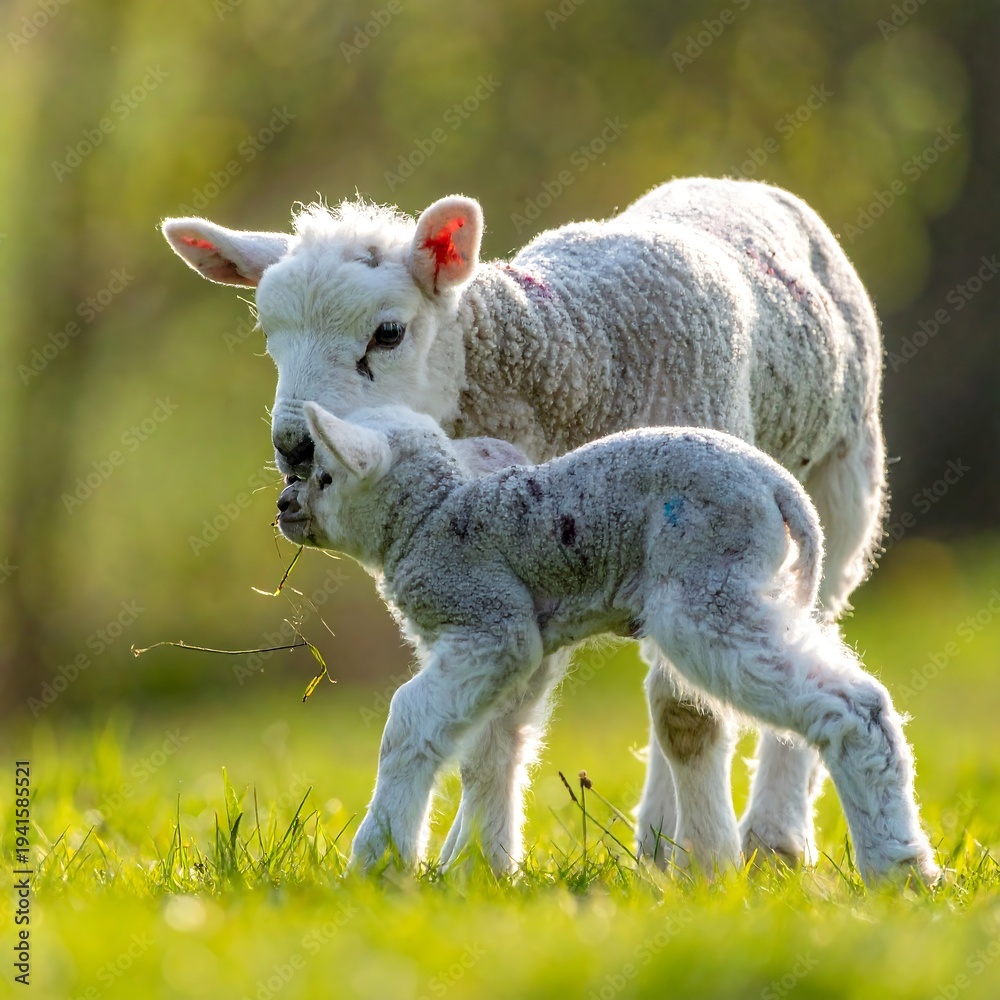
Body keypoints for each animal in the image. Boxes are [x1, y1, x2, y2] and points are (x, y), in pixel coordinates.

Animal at [162, 176, 886, 870]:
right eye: (269, 338)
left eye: (388, 333)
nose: (294, 448)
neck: (568, 344)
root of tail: (733, 179)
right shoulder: (521, 558)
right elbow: (496, 723)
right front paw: (475, 864)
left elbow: (687, 714)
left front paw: (707, 861)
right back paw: (658, 843)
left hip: (836, 499)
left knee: (803, 638)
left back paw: (767, 838)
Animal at [274, 401, 936, 884]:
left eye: (324, 476)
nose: (284, 506)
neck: (432, 515)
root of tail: (781, 490)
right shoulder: (528, 647)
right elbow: (493, 750)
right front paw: (481, 869)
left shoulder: (488, 621)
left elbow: (410, 723)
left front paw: (379, 862)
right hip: (742, 585)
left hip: (704, 591)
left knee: (851, 705)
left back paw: (895, 869)